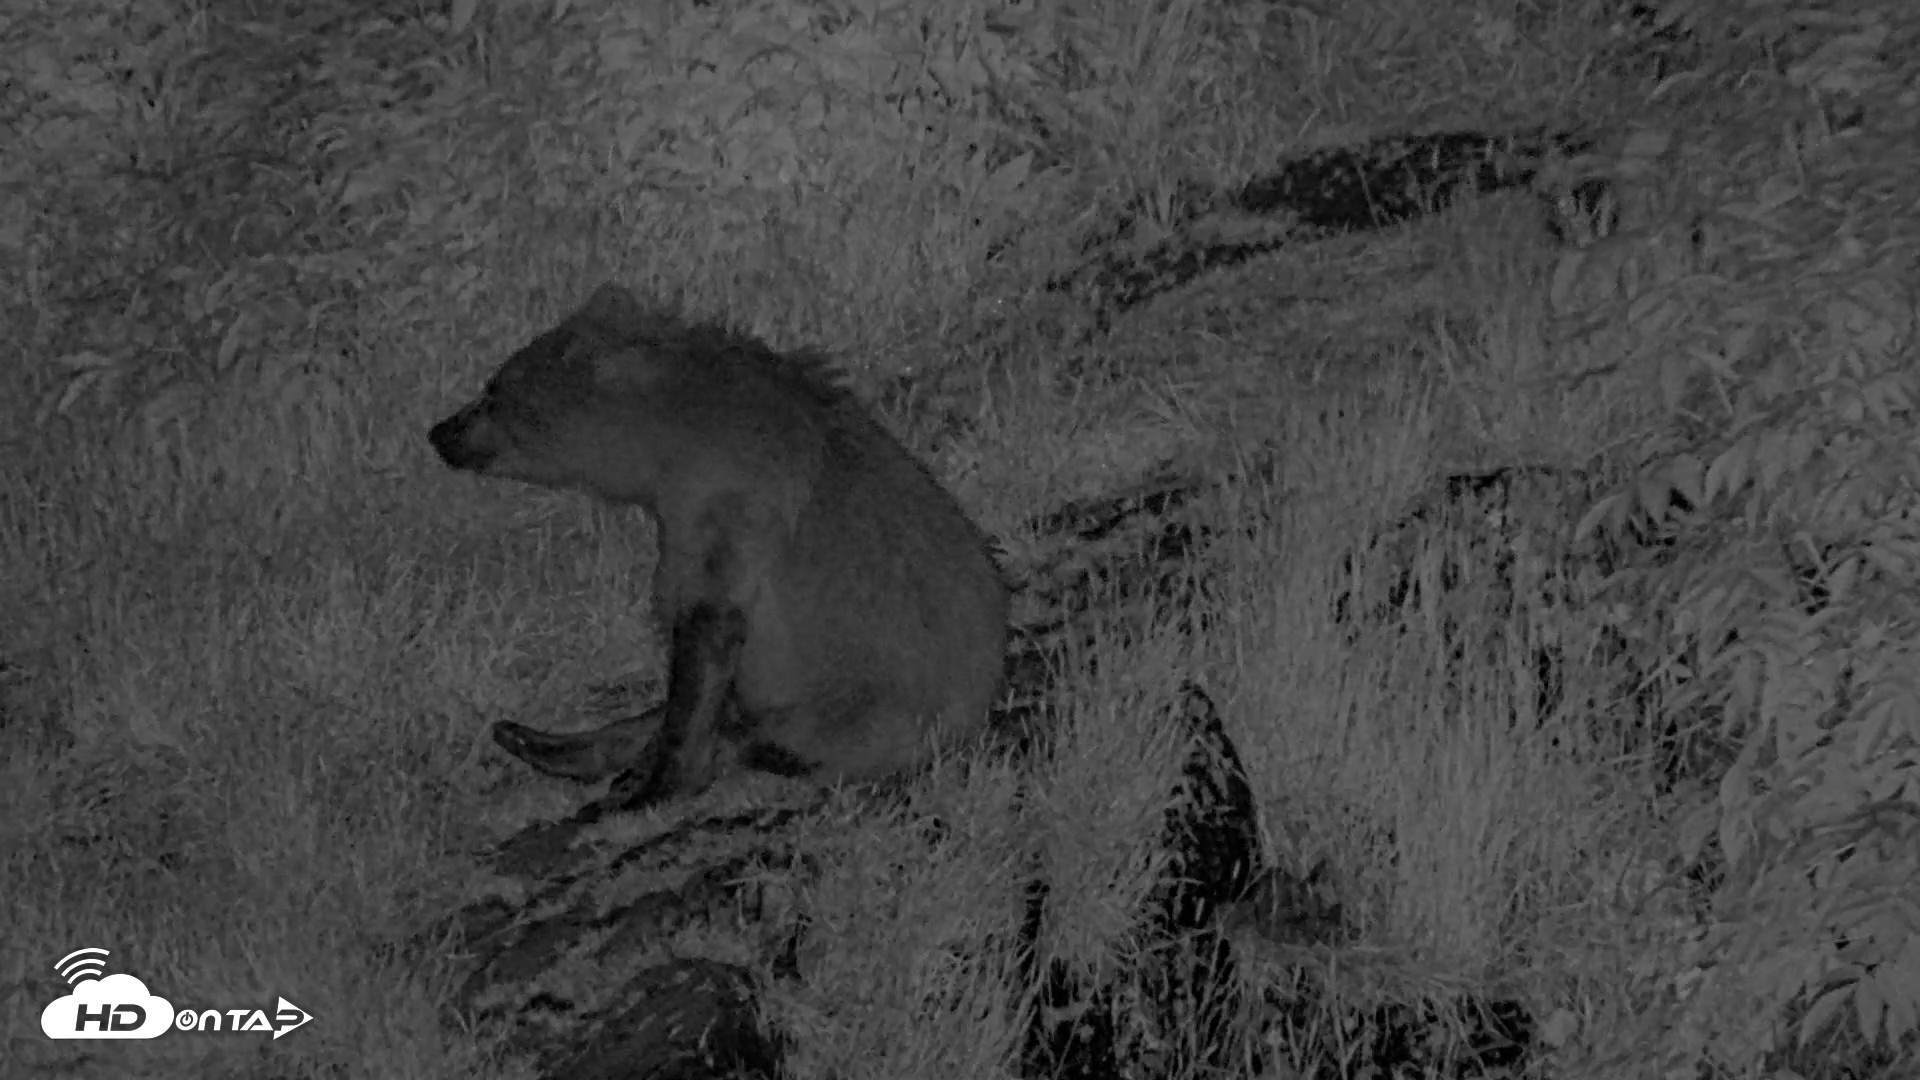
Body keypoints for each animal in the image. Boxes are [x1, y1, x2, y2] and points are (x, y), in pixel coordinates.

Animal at [428, 283, 1009, 816]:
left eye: (492, 391)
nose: (440, 430)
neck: (674, 446)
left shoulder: (729, 507)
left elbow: (706, 632)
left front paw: (645, 788)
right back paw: (534, 739)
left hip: (865, 709)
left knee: (767, 734)